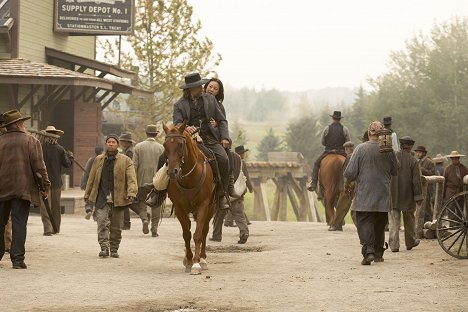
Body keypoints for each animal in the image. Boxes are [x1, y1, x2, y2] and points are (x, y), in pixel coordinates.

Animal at [163, 120, 216, 274]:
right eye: (165, 145)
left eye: (181, 144)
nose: (172, 172)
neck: (190, 178)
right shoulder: (179, 208)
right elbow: (186, 234)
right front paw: (188, 260)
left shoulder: (203, 205)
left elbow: (198, 234)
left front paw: (196, 263)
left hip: (211, 208)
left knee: (204, 230)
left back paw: (203, 259)